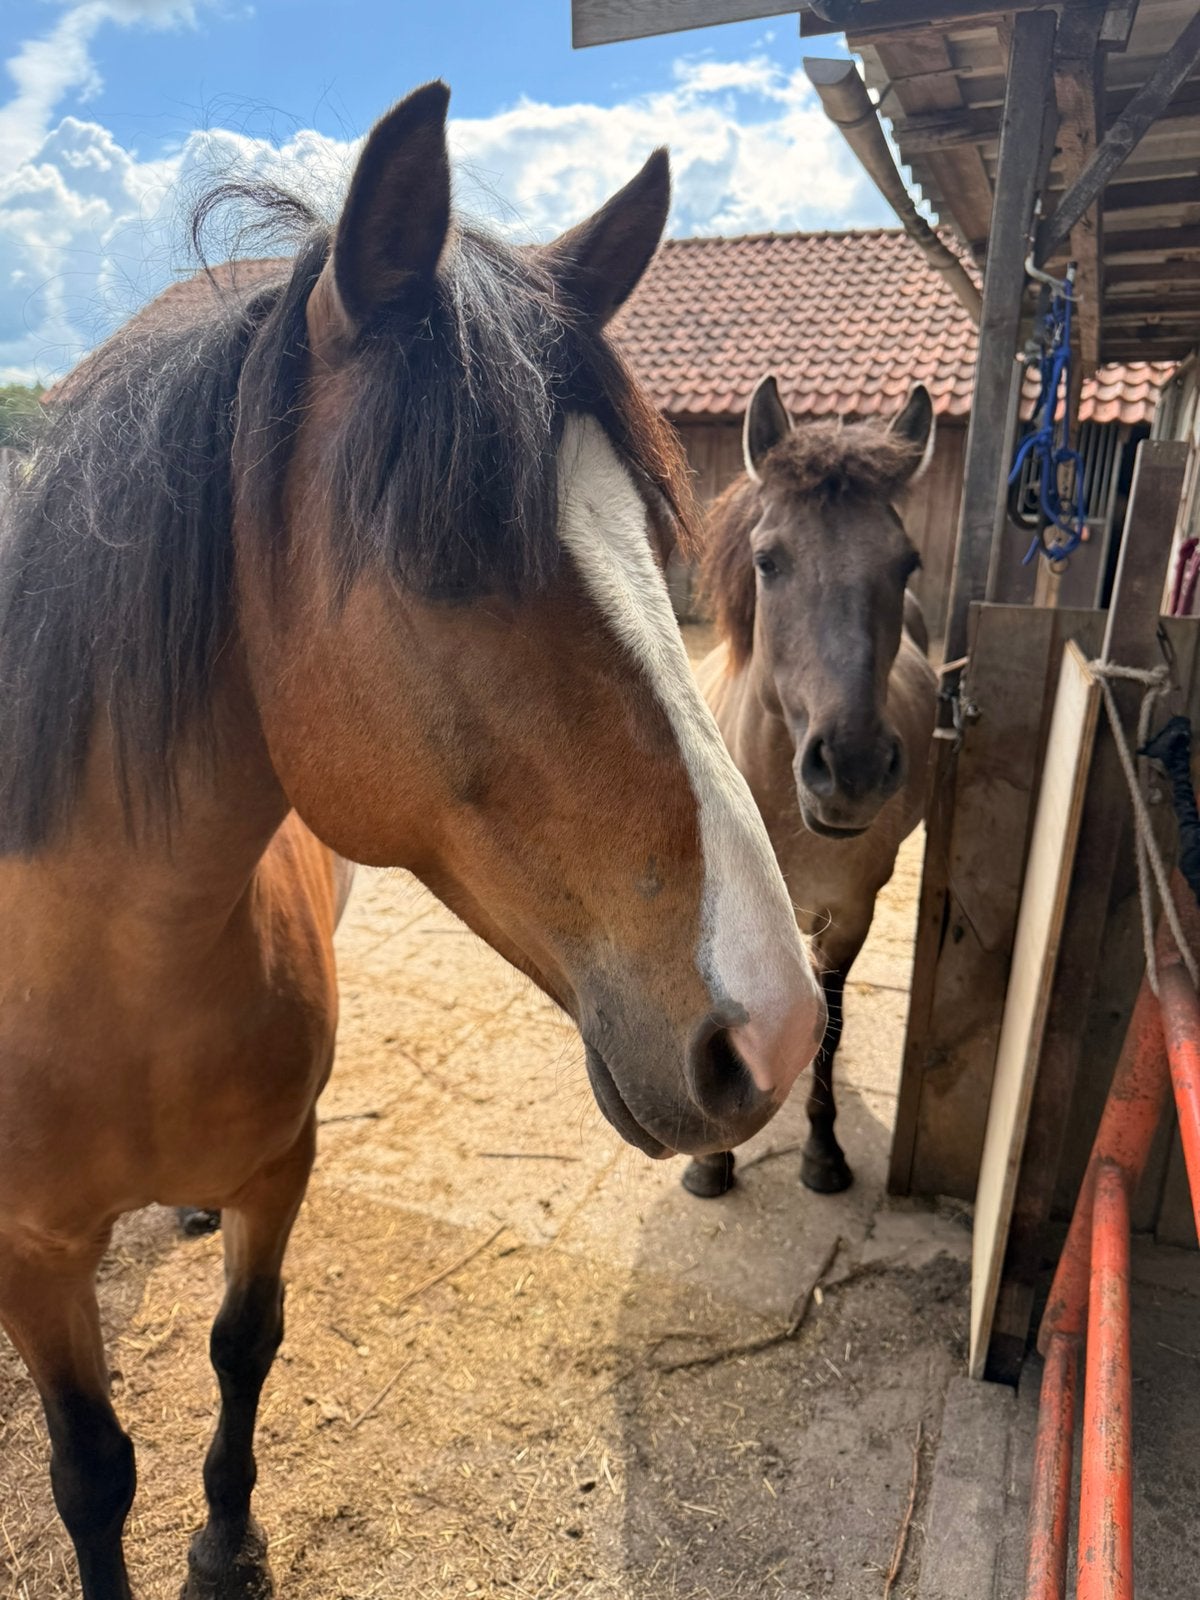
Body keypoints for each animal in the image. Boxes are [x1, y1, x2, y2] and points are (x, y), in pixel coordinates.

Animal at [0, 85, 825, 1600]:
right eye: (443, 559)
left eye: (656, 542)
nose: (776, 1029)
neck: (95, 975)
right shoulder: (28, 1253)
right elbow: (89, 1471)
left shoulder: (284, 1167)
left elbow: (243, 1349)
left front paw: (228, 1540)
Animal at [680, 376, 938, 1201]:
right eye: (768, 560)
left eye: (906, 563)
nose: (852, 768)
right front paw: (712, 1160)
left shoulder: (850, 913)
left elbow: (831, 1024)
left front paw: (823, 1151)